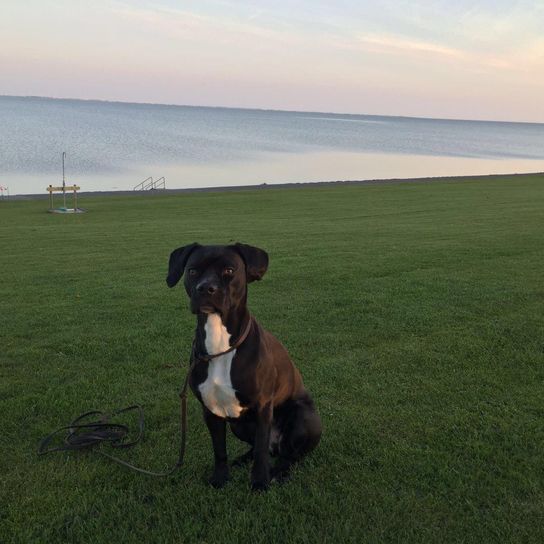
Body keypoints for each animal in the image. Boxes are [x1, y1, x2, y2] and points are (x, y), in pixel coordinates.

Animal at [165, 244, 318, 490]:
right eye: (193, 271)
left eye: (229, 270)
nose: (206, 288)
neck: (220, 343)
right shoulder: (210, 410)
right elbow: (219, 450)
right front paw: (220, 478)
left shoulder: (263, 407)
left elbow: (261, 453)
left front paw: (260, 483)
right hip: (238, 425)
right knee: (258, 448)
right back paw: (241, 461)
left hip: (301, 419)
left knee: (290, 455)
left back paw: (279, 472)